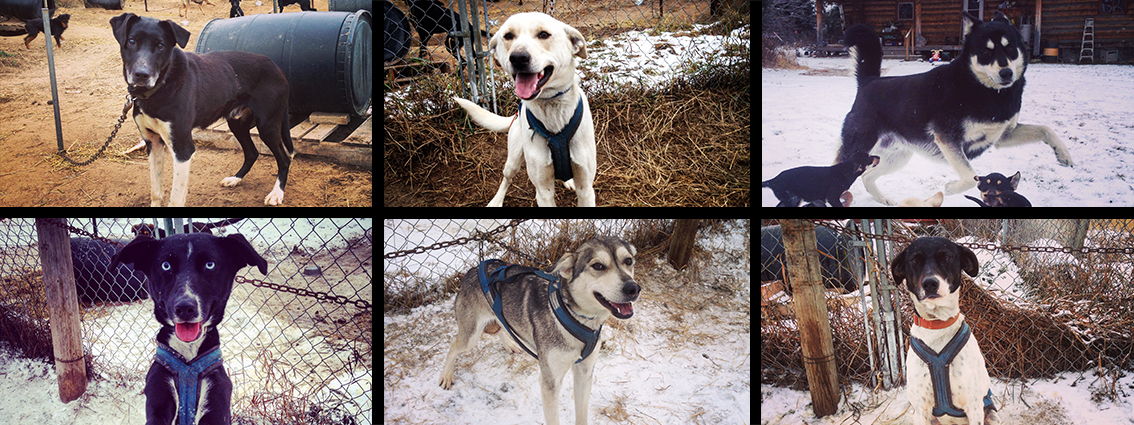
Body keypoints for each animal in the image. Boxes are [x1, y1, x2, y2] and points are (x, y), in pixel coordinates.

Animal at [439, 238, 644, 425]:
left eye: (628, 261)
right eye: (598, 266)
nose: (633, 288)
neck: (575, 315)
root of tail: (474, 269)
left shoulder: (585, 373)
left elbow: (582, 414)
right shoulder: (550, 383)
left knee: (501, 326)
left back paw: (510, 344)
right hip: (470, 336)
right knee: (453, 347)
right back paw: (446, 376)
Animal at [451, 12, 598, 207]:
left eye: (543, 34)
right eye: (508, 36)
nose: (518, 58)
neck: (553, 108)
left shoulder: (586, 188)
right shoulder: (543, 191)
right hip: (513, 160)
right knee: (507, 179)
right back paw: (496, 201)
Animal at [889, 238, 997, 425]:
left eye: (946, 257)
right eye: (915, 260)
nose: (930, 283)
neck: (937, 324)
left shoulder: (975, 407)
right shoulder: (921, 411)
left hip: (991, 414)